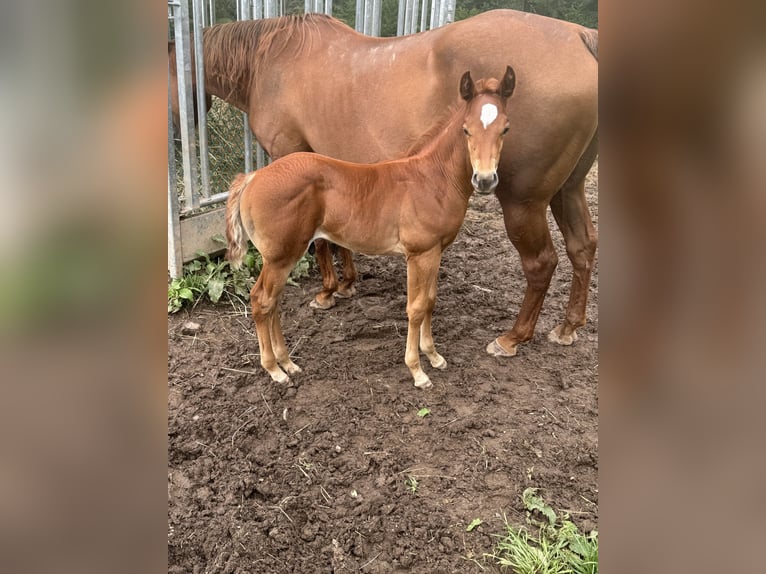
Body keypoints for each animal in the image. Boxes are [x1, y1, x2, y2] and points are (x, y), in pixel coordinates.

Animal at [170, 9, 600, 358]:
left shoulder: (291, 153)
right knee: (582, 247)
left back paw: (513, 338)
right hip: (568, 190)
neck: (272, 60)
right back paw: (568, 327)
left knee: (541, 263)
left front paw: (327, 292)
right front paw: (347, 284)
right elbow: (338, 235)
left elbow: (321, 240)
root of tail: (581, 37)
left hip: (523, 202)